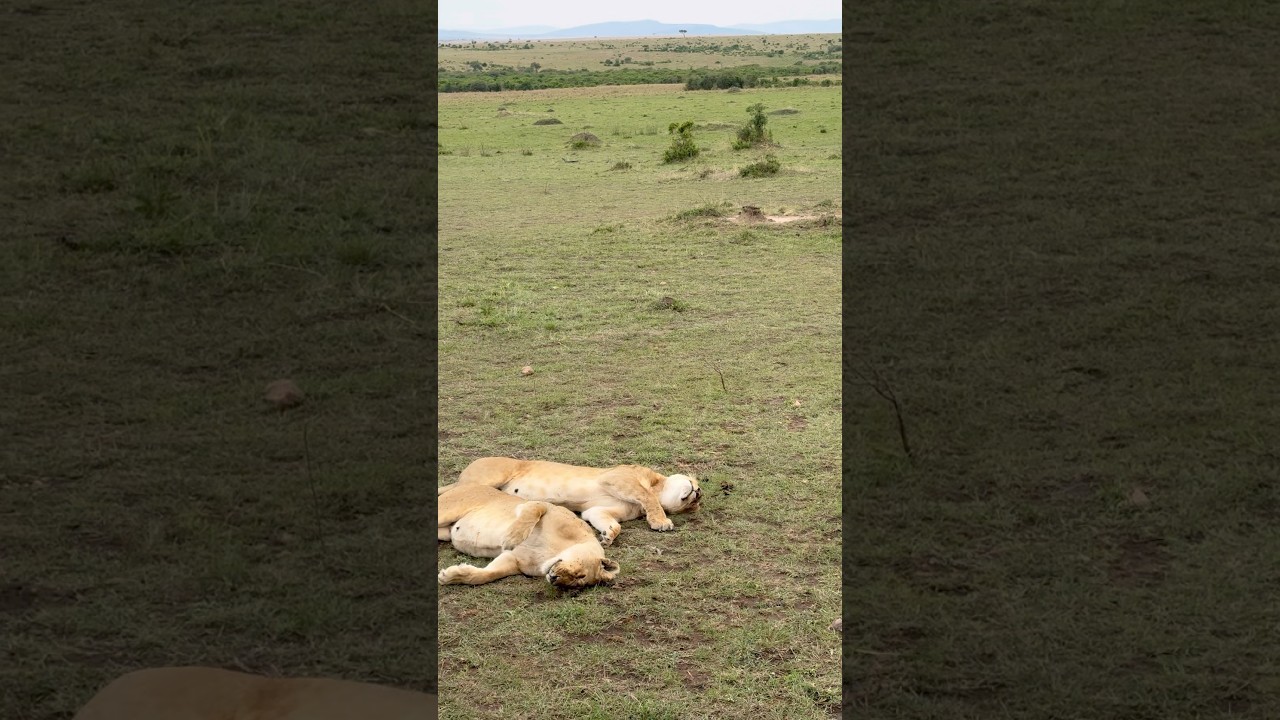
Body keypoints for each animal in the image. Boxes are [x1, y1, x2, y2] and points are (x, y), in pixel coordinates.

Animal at [438, 457, 702, 546]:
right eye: (694, 482)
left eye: (694, 506)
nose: (699, 493)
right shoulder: (617, 477)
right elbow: (647, 496)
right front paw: (661, 521)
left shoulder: (596, 510)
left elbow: (609, 522)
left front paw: (608, 535)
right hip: (489, 476)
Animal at [438, 482, 620, 588]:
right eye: (579, 574)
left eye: (576, 584)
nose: (554, 579)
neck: (553, 552)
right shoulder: (539, 505)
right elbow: (532, 513)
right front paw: (511, 538)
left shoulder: (513, 560)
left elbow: (487, 574)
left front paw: (451, 576)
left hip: (445, 532)